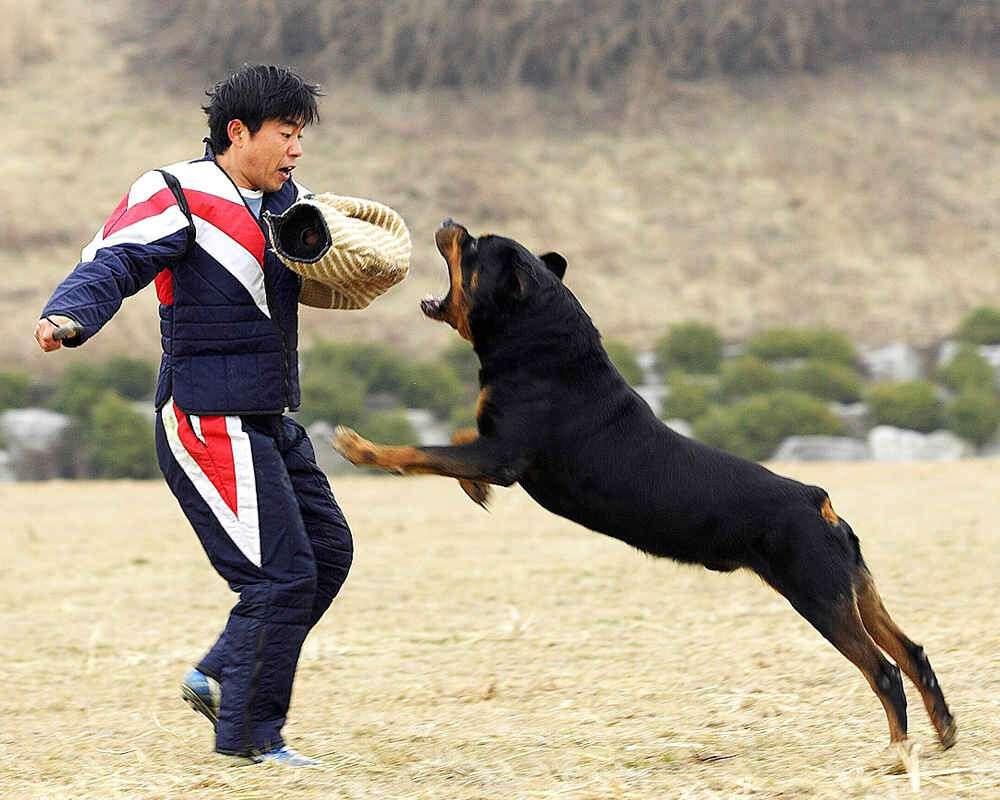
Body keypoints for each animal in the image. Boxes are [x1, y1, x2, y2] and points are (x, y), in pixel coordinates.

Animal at [332, 219, 956, 756]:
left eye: (474, 249)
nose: (450, 223)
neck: (546, 348)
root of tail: (817, 500)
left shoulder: (503, 454)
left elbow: (422, 452)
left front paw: (359, 447)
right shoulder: (493, 448)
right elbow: (455, 445)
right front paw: (472, 490)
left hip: (818, 595)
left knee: (883, 669)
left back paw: (897, 752)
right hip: (853, 587)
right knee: (912, 651)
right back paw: (944, 731)